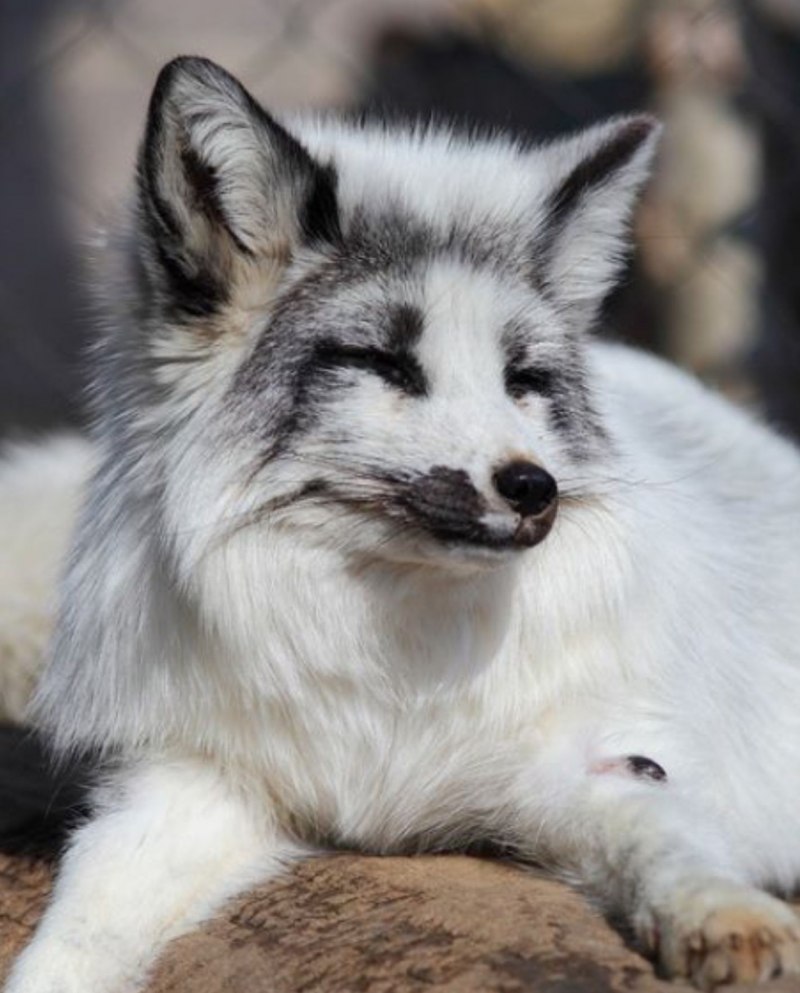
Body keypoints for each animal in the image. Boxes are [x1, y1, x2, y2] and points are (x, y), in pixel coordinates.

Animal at [3, 54, 800, 993]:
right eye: (385, 362)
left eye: (523, 378)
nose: (535, 487)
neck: (389, 659)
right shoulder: (196, 776)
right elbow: (85, 915)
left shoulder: (593, 756)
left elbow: (663, 834)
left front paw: (728, 917)